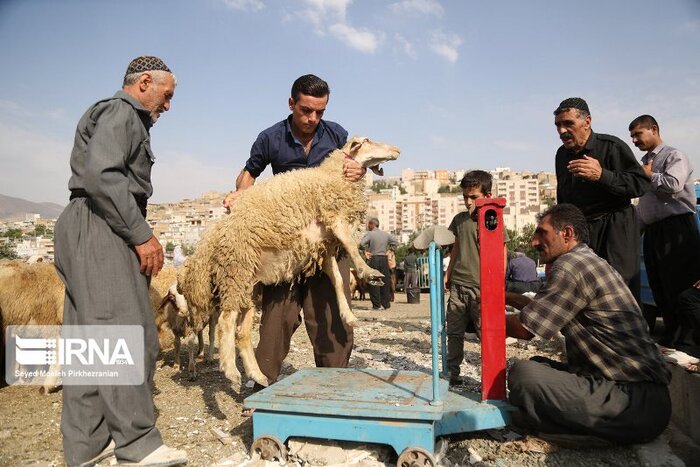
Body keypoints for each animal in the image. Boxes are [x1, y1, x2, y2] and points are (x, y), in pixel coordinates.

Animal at [175, 137, 400, 390]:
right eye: (368, 140)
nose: (397, 150)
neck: (332, 175)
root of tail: (210, 239)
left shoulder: (324, 247)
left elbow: (338, 280)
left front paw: (347, 315)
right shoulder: (334, 217)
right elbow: (352, 247)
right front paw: (370, 272)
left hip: (249, 287)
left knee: (242, 334)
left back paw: (258, 375)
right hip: (236, 271)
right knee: (225, 322)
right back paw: (232, 372)